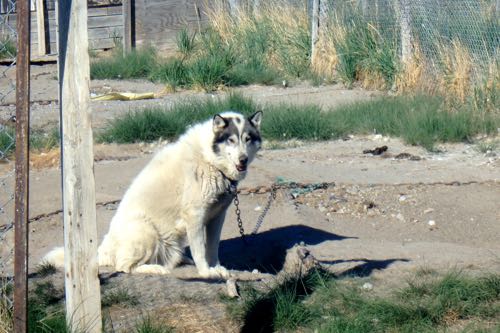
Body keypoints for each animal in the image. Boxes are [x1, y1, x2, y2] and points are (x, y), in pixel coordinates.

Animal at [45, 111, 264, 278]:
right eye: (231, 140)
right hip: (146, 231)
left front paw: (217, 268)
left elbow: (212, 247)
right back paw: (155, 268)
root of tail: (104, 249)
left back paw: (180, 259)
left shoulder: (217, 216)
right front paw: (206, 272)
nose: (243, 160)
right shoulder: (195, 216)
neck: (210, 159)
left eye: (247, 139)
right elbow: (200, 249)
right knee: (123, 266)